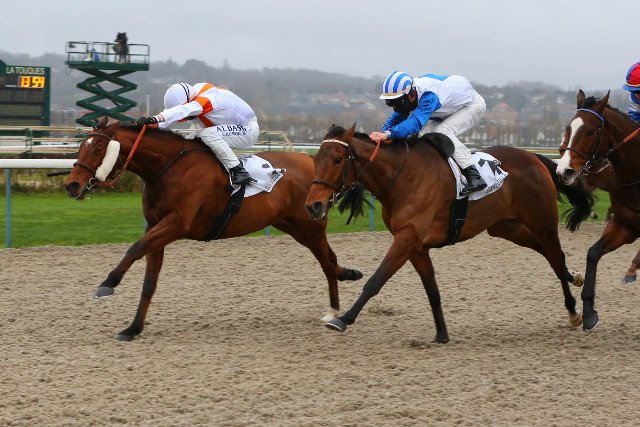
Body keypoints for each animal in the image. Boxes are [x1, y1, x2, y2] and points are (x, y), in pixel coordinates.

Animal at [64, 117, 362, 341]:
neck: (167, 168)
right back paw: (347, 277)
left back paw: (335, 309)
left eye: (98, 149)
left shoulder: (176, 224)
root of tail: (310, 160)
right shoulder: (157, 227)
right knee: (329, 260)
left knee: (328, 261)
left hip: (310, 225)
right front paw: (133, 328)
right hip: (291, 225)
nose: (72, 185)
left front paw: (107, 284)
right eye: (81, 147)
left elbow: (134, 248)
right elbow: (149, 280)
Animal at [304, 124, 594, 343]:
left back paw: (574, 311)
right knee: (551, 255)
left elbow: (376, 280)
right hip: (506, 227)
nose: (313, 205)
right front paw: (441, 334)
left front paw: (342, 319)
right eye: (316, 159)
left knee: (554, 256)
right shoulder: (416, 245)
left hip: (542, 223)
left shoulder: (407, 237)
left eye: (338, 159)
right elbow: (432, 289)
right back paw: (574, 278)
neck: (402, 177)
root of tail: (536, 158)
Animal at [556, 90, 640, 330]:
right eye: (568, 128)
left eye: (591, 131)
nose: (564, 171)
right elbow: (593, 253)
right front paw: (588, 312)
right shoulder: (626, 225)